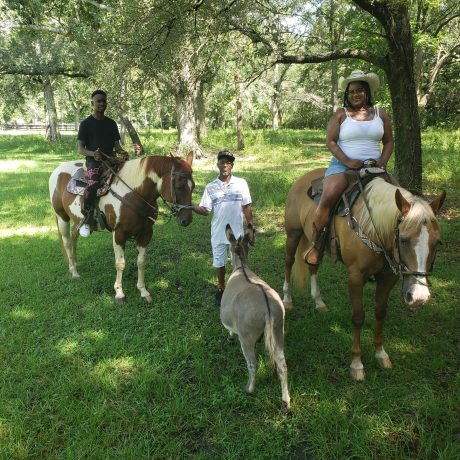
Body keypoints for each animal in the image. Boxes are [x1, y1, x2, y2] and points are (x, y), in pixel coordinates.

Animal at [48, 153, 194, 304]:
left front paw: (143, 290)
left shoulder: (146, 233)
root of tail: (57, 170)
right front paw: (119, 293)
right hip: (62, 217)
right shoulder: (119, 234)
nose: (186, 220)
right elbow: (120, 264)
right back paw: (74, 272)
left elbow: (141, 261)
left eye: (193, 186)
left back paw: (76, 264)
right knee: (67, 242)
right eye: (179, 185)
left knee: (74, 237)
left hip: (77, 219)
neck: (134, 193)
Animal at [220, 225, 292, 412]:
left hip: (246, 338)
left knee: (252, 364)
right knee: (282, 365)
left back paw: (250, 389)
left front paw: (230, 337)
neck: (241, 268)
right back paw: (285, 401)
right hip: (279, 330)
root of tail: (267, 306)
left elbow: (229, 330)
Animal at [284, 169, 446, 380]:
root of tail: (302, 178)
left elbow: (380, 313)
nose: (419, 296)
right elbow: (358, 317)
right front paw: (357, 364)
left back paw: (319, 302)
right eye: (403, 239)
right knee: (288, 262)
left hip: (314, 245)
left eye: (437, 242)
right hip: (293, 234)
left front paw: (381, 354)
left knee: (312, 266)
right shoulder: (355, 277)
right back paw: (287, 299)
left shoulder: (388, 278)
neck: (375, 228)